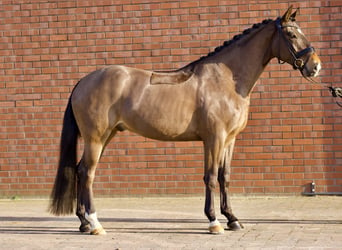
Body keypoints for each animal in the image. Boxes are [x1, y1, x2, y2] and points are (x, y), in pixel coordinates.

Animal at [50, 6, 320, 235]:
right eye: (291, 34)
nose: (315, 66)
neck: (225, 80)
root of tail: (83, 81)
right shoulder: (214, 138)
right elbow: (210, 177)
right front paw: (214, 222)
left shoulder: (229, 140)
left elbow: (224, 177)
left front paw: (232, 219)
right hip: (96, 138)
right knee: (87, 173)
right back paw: (95, 224)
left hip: (107, 136)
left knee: (80, 170)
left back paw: (84, 223)